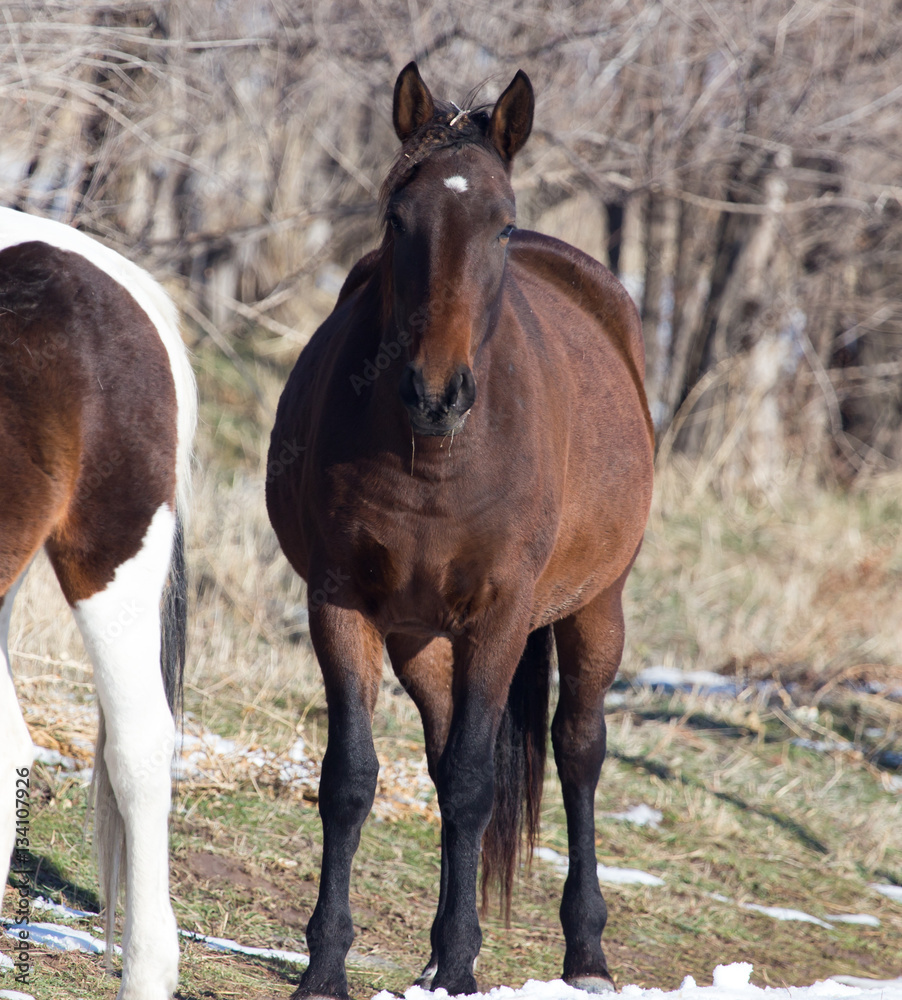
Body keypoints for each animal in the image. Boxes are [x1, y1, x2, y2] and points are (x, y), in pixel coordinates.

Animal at [266, 63, 654, 999]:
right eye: (395, 218)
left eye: (500, 223)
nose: (436, 393)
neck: (437, 461)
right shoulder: (342, 605)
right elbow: (353, 779)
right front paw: (327, 964)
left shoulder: (501, 619)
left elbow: (480, 784)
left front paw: (465, 968)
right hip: (421, 639)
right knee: (445, 762)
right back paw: (444, 948)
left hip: (596, 608)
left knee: (577, 750)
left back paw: (584, 953)